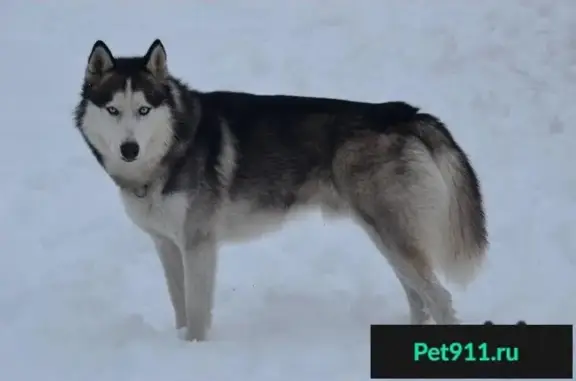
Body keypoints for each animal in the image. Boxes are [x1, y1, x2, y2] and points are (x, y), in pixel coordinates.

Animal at [72, 39, 486, 342]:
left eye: (143, 109)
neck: (172, 149)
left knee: (439, 298)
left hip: (393, 234)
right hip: (386, 237)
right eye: (112, 110)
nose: (129, 149)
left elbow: (197, 312)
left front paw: (194, 350)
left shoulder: (198, 245)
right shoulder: (167, 245)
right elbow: (180, 306)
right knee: (419, 298)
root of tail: (406, 113)